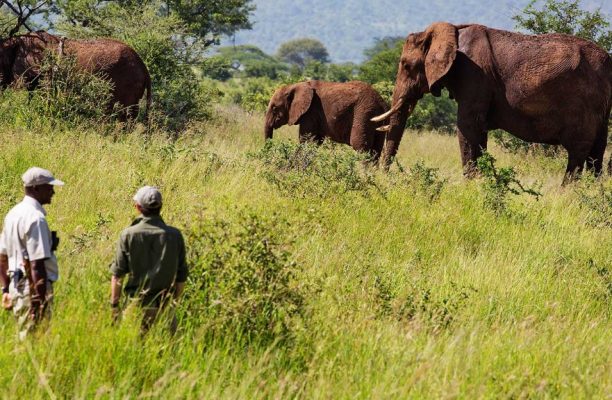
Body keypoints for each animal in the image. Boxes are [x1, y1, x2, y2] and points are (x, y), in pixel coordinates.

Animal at [372, 21, 612, 184]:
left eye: (406, 65)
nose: (383, 176)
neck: (453, 30)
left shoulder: (474, 75)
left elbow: (467, 127)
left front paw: (469, 184)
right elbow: (478, 133)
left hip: (584, 105)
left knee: (578, 152)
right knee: (596, 154)